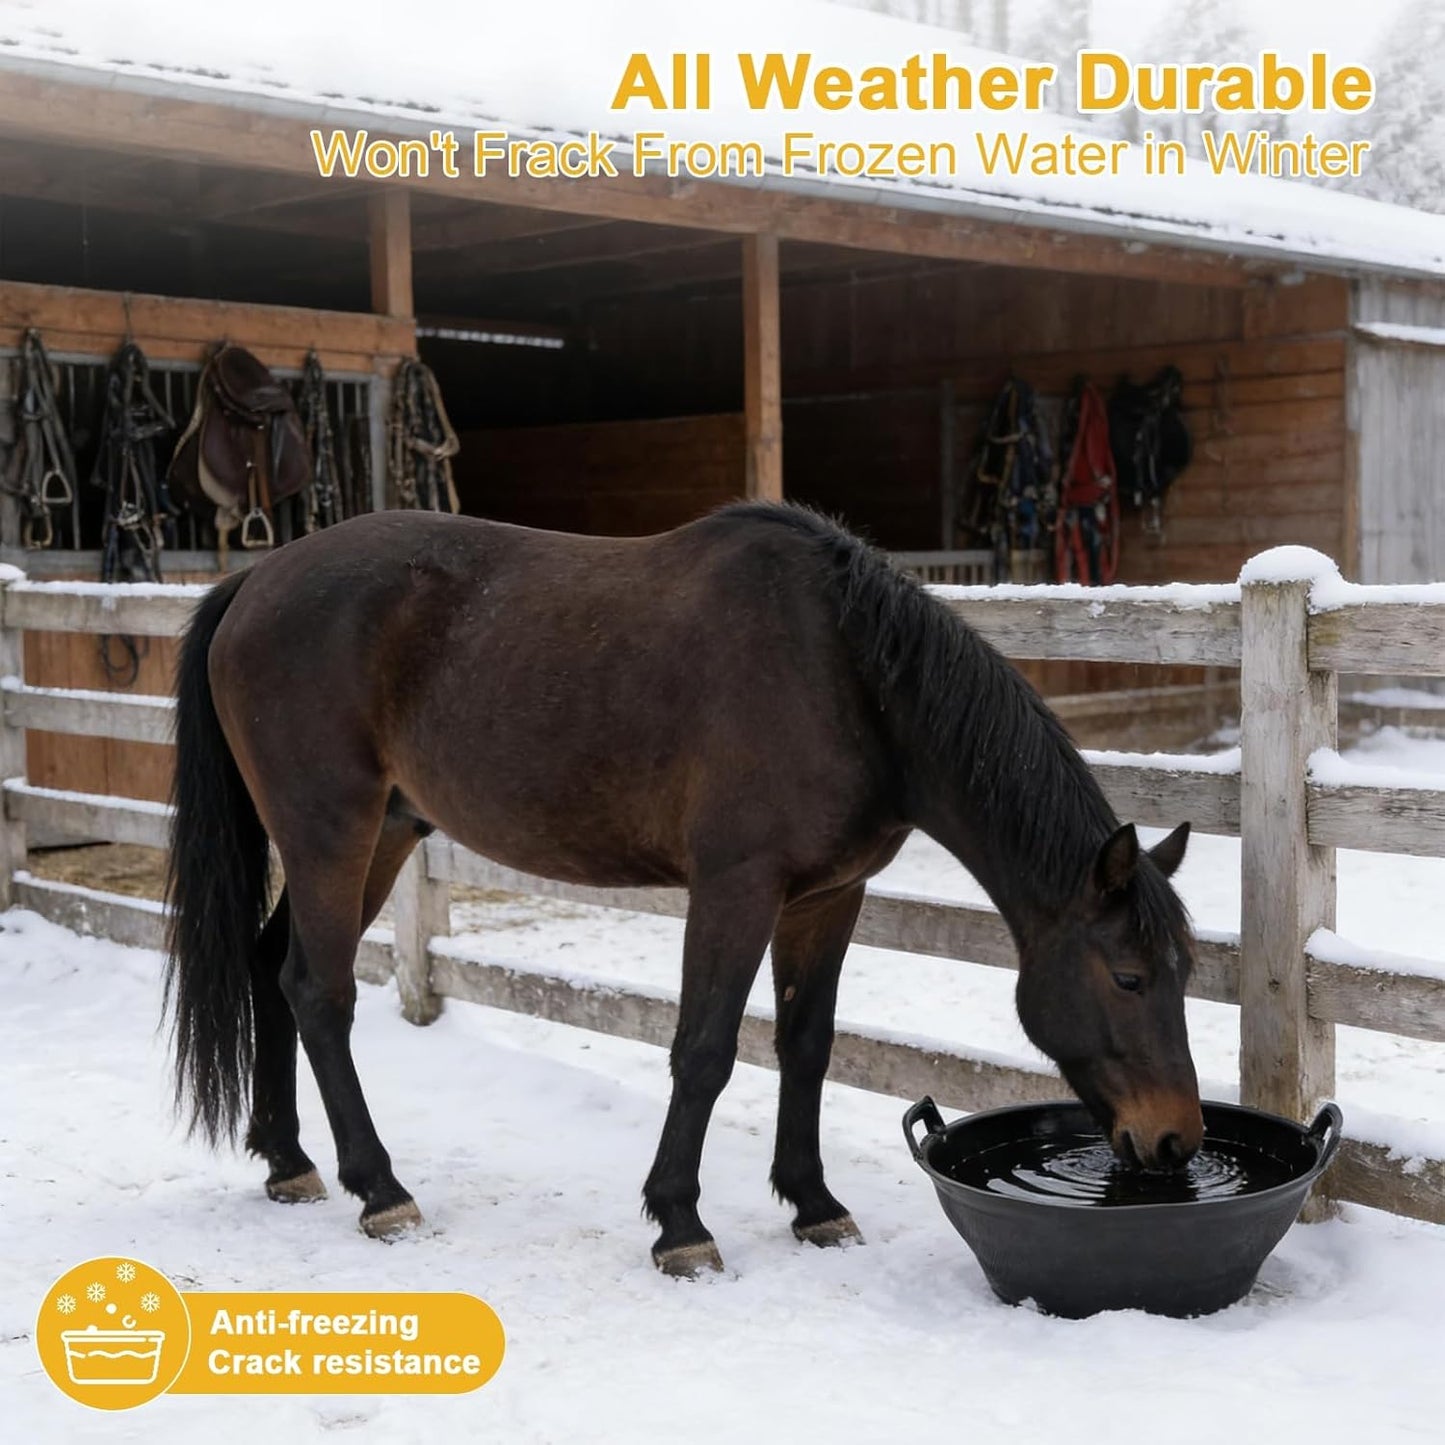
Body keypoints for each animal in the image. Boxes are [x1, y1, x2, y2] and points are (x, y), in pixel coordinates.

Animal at [164, 502, 1202, 1276]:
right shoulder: (736, 887)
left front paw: (814, 1203)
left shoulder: (827, 897)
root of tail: (255, 581)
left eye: (1184, 974)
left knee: (273, 969)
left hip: (380, 833)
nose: (1176, 1142)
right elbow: (703, 1050)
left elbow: (806, 1045)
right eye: (1127, 977)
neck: (845, 676)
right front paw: (679, 1223)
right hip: (329, 832)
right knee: (320, 991)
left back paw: (288, 1160)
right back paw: (379, 1189)